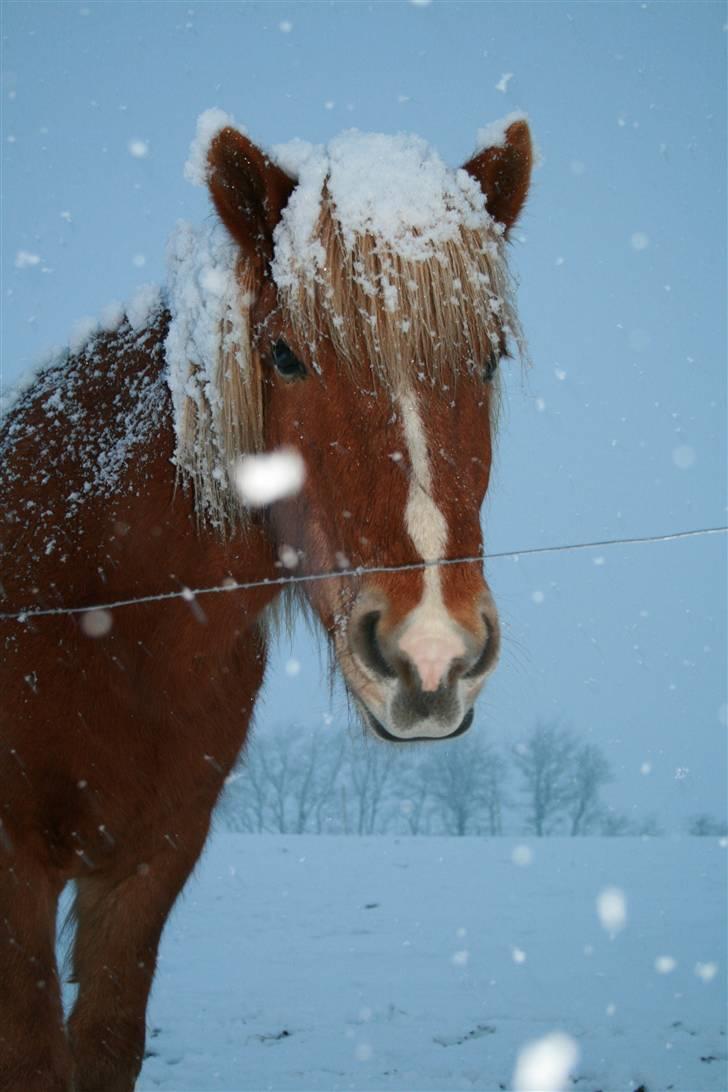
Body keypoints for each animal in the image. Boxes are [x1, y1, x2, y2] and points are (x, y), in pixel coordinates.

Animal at [0, 113, 530, 1092]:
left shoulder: (150, 864)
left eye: (488, 359)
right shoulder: (13, 870)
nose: (431, 651)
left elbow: (107, 1046)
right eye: (284, 354)